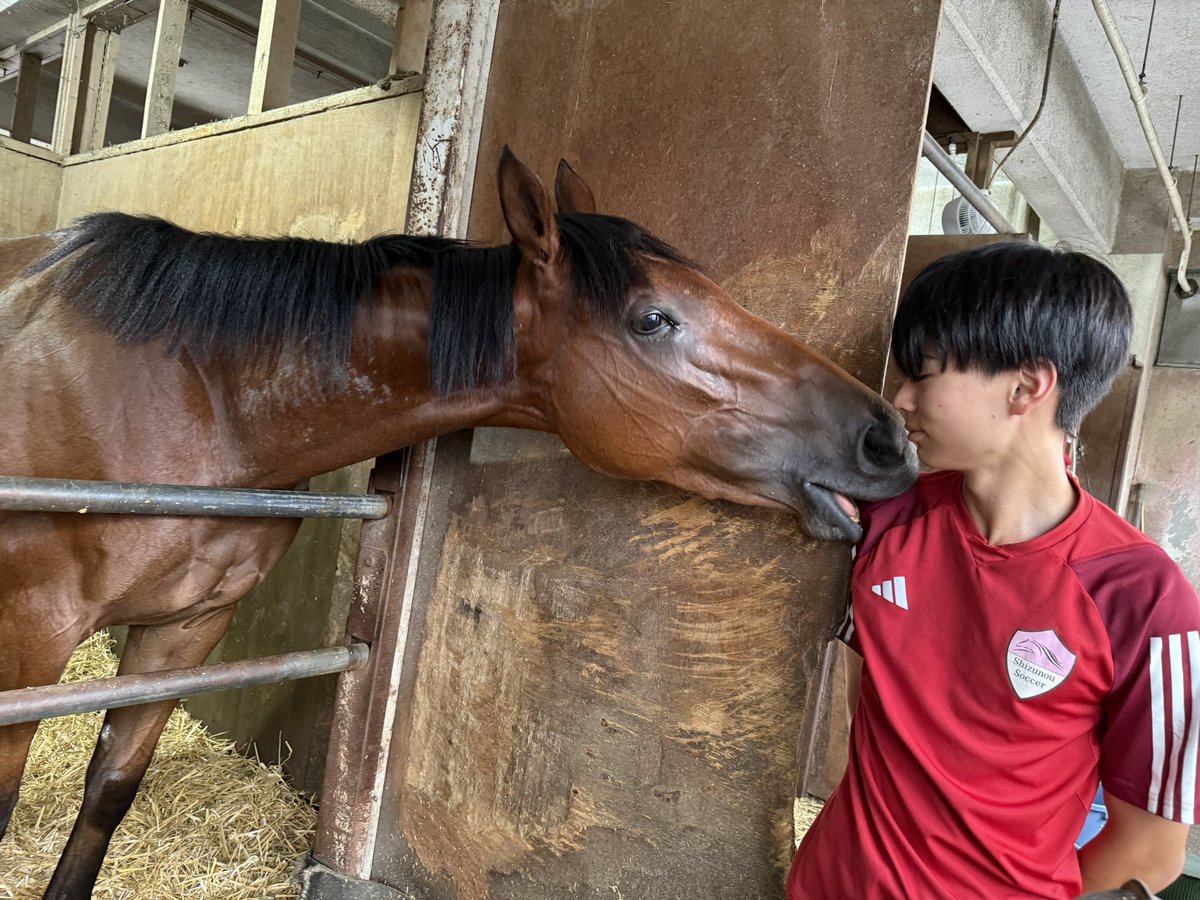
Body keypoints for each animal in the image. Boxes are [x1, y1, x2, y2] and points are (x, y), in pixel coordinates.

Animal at [0, 146, 917, 897]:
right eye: (654, 318)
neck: (203, 394)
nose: (888, 438)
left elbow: (110, 790)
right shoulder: (31, 635)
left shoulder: (188, 627)